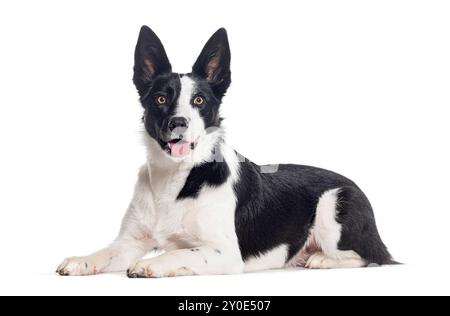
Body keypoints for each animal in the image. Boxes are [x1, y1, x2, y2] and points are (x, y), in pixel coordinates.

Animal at [56, 27, 394, 278]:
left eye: (199, 101)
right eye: (161, 99)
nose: (178, 123)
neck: (177, 178)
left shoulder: (225, 253)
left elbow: (181, 251)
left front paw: (153, 264)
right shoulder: (129, 241)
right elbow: (106, 251)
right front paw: (81, 259)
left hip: (333, 206)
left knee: (370, 256)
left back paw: (322, 260)